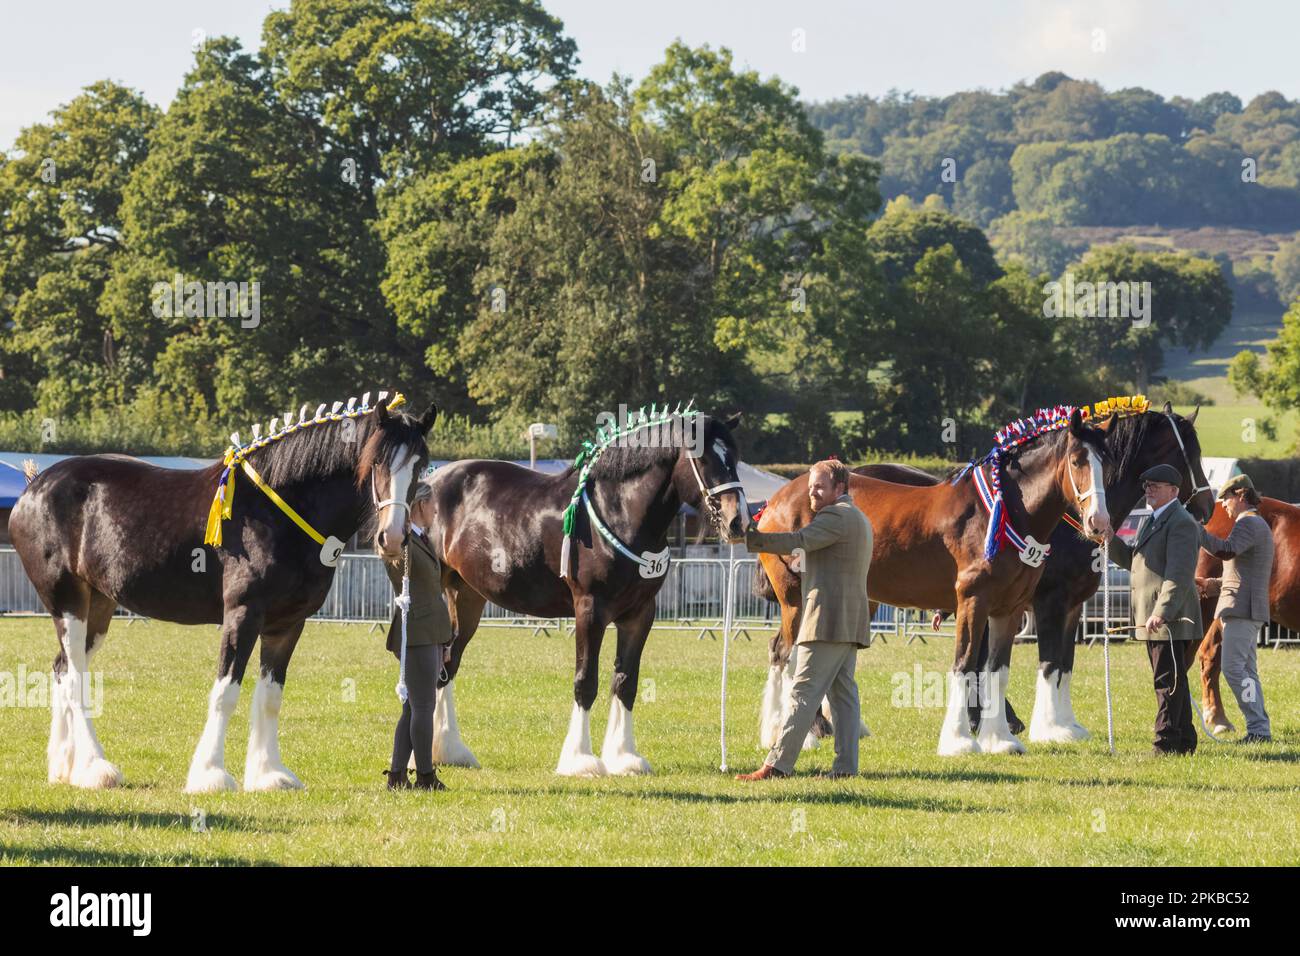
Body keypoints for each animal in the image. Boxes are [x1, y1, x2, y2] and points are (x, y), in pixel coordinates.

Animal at [8, 392, 436, 790]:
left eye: (420, 465)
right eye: (377, 461)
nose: (392, 537)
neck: (278, 510)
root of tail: (33, 488)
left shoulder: (288, 624)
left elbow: (270, 698)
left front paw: (269, 773)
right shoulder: (243, 614)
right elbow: (226, 691)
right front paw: (210, 774)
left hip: (98, 605)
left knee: (63, 668)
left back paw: (65, 767)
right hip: (67, 602)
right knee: (75, 678)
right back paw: (97, 767)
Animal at [423, 405, 743, 780]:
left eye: (734, 456)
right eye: (703, 458)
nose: (738, 521)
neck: (619, 512)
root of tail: (432, 480)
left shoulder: (640, 614)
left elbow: (626, 681)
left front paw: (624, 756)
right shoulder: (590, 610)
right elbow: (585, 681)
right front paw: (580, 759)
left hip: (467, 597)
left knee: (447, 662)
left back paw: (449, 750)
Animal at [759, 403, 1211, 754]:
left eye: (1109, 464)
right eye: (1078, 462)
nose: (1206, 506)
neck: (1007, 512)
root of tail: (778, 499)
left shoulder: (1020, 608)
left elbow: (1010, 667)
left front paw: (1005, 738)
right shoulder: (997, 602)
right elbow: (978, 664)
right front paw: (967, 739)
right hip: (798, 598)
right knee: (786, 653)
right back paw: (792, 733)